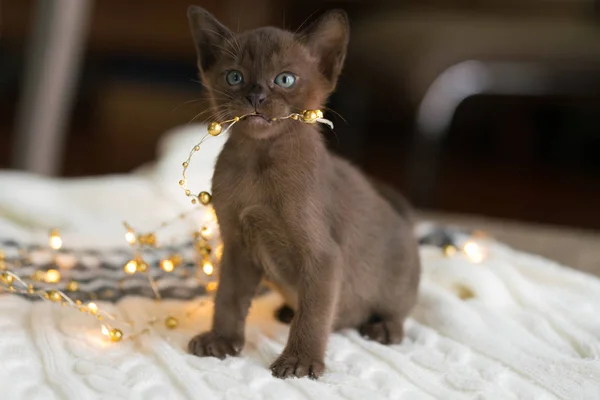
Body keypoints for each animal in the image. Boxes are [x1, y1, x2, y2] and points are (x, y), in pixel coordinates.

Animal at [185, 7, 420, 382]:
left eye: (285, 80)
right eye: (234, 77)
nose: (255, 96)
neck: (258, 164)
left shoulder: (322, 257)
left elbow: (313, 315)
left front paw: (299, 362)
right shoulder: (236, 248)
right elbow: (227, 299)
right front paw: (221, 341)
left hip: (396, 280)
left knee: (397, 311)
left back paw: (383, 328)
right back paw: (285, 311)